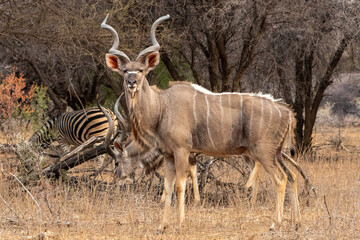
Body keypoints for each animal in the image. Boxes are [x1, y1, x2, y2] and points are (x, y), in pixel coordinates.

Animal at [100, 13, 300, 231]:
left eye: (142, 70)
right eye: (125, 70)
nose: (132, 83)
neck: (162, 107)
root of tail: (287, 112)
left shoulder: (182, 151)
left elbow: (180, 185)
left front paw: (179, 223)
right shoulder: (168, 155)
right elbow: (168, 187)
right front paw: (162, 225)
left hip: (263, 153)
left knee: (281, 180)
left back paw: (275, 223)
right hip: (276, 153)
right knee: (292, 177)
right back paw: (293, 221)